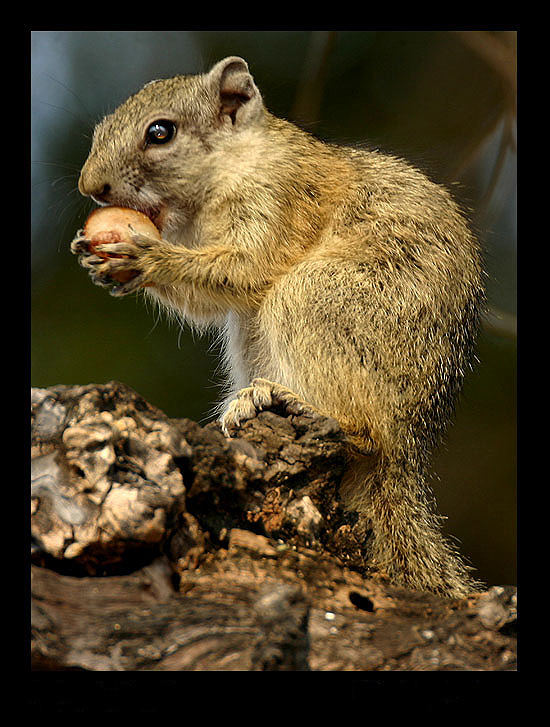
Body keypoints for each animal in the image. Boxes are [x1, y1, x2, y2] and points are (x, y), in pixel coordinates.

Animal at [70, 57, 488, 600]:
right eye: (99, 131)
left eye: (160, 132)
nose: (90, 186)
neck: (232, 165)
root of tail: (407, 440)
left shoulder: (282, 197)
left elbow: (248, 269)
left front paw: (147, 257)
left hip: (316, 299)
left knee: (367, 432)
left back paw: (298, 404)